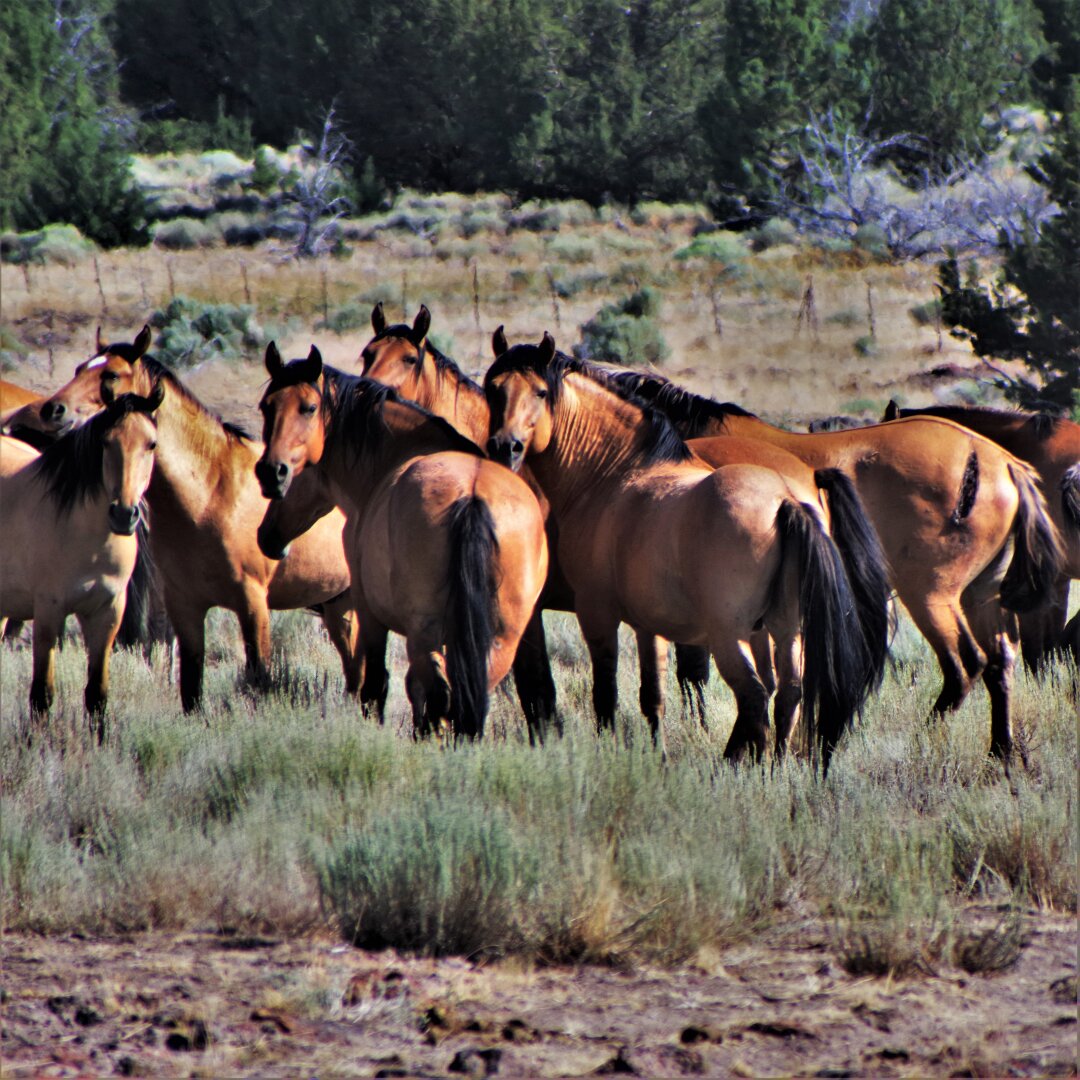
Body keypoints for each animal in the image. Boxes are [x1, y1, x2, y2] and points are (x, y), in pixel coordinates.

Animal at [0, 387, 163, 736]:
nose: (124, 515)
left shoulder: (107, 613)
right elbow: (41, 695)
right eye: (106, 442)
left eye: (152, 444)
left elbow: (97, 695)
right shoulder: (49, 612)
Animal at [29, 326, 360, 712]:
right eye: (80, 368)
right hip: (340, 605)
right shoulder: (185, 604)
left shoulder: (253, 604)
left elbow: (259, 679)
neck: (211, 494)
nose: (52, 409)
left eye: (110, 374)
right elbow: (191, 688)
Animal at [255, 344, 549, 742]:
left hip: (423, 633)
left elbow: (376, 685)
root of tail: (472, 495)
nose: (271, 472)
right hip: (501, 638)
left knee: (441, 697)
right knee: (466, 701)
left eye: (309, 407)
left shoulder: (368, 612)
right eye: (266, 406)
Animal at [485, 332, 879, 773]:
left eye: (540, 391)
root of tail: (786, 500)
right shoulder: (648, 625)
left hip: (731, 636)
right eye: (493, 388)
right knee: (788, 696)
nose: (505, 447)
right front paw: (656, 755)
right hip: (784, 629)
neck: (614, 474)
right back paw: (774, 769)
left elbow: (604, 696)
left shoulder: (597, 614)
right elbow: (652, 696)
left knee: (755, 698)